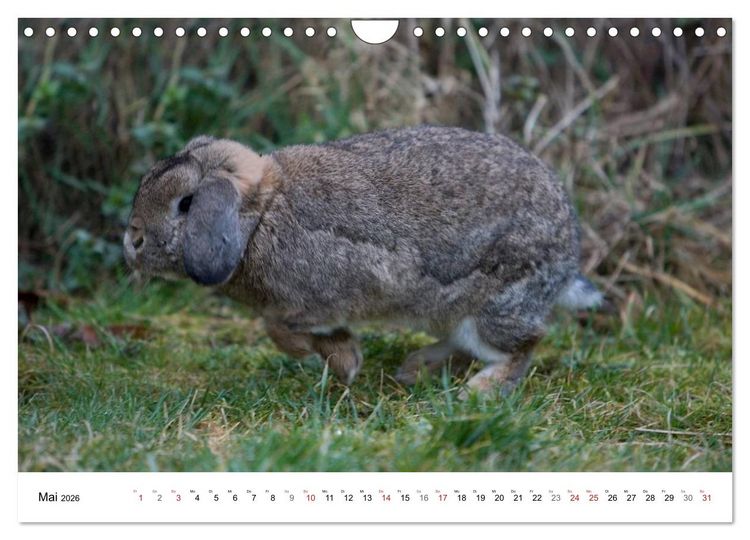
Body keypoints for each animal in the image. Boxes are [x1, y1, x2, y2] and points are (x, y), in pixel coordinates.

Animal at [124, 126, 602, 396]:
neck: (260, 215)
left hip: (497, 302)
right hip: (448, 311)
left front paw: (342, 364)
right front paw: (347, 361)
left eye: (186, 204)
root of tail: (567, 257)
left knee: (523, 345)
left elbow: (279, 329)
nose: (131, 240)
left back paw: (480, 392)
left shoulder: (318, 299)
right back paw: (414, 369)